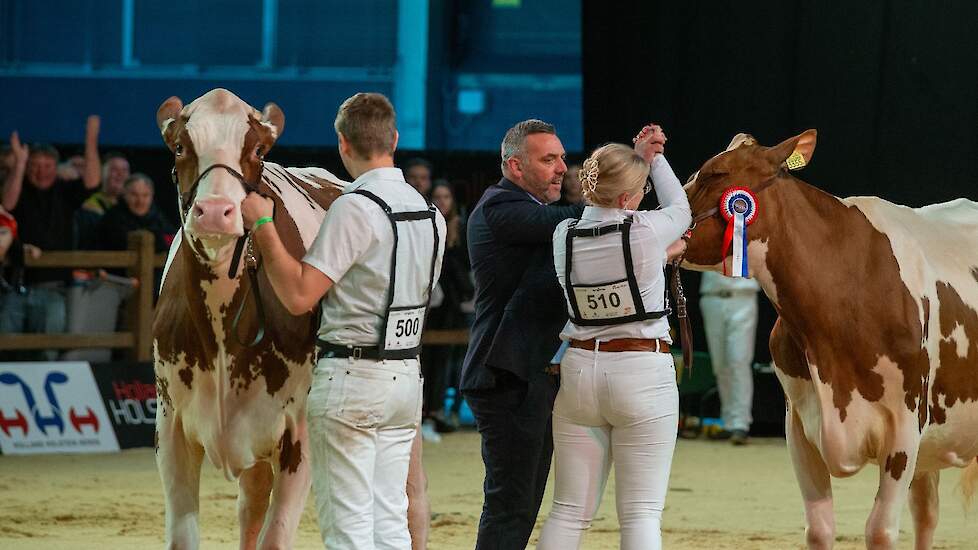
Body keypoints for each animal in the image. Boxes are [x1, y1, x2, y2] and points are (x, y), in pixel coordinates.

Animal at [680, 130, 976, 550]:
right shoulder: (800, 424)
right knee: (926, 514)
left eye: (715, 173)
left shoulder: (906, 423)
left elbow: (880, 530)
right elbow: (819, 529)